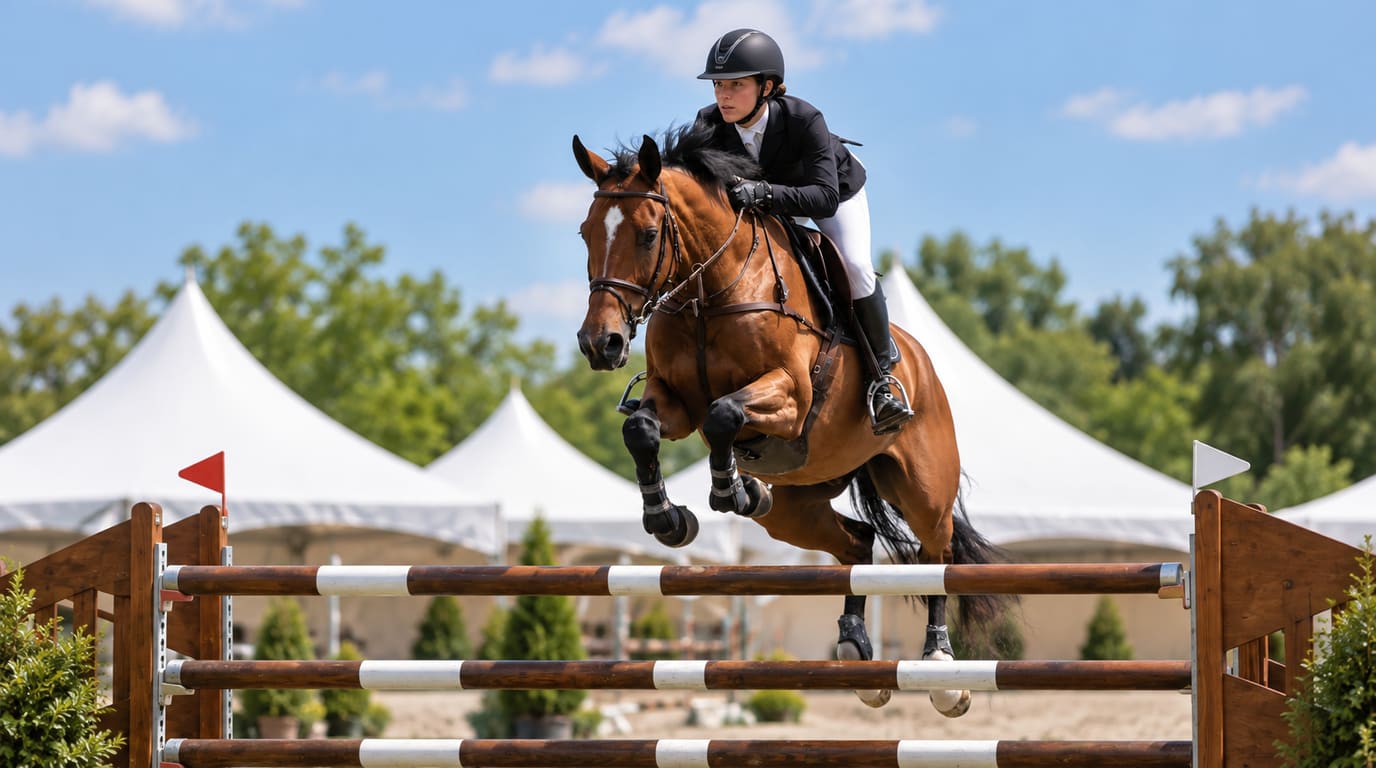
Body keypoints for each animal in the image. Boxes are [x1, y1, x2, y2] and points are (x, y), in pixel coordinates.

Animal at [571, 125, 1009, 716]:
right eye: (586, 233)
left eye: (647, 234)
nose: (602, 344)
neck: (709, 293)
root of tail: (922, 365)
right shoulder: (674, 402)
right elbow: (641, 429)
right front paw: (670, 518)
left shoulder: (790, 396)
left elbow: (724, 413)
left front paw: (731, 489)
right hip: (797, 505)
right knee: (856, 541)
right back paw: (855, 647)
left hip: (923, 488)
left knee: (933, 554)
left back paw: (940, 668)